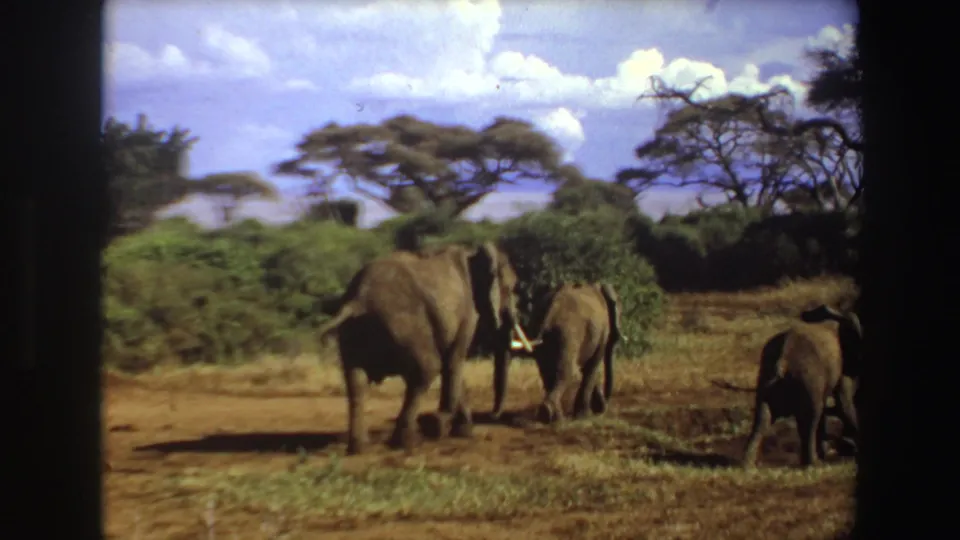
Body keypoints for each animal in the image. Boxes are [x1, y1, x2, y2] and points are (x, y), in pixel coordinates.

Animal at [316, 242, 534, 455]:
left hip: (354, 334)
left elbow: (451, 366)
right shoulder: (467, 312)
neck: (472, 253)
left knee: (356, 382)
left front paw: (462, 431)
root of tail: (358, 300)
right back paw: (406, 443)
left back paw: (359, 448)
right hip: (404, 325)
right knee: (427, 370)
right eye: (511, 288)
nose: (493, 415)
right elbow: (453, 362)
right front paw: (441, 425)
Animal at [500, 281, 626, 424]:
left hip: (545, 333)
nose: (602, 408)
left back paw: (555, 417)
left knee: (547, 371)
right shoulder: (602, 330)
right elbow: (592, 366)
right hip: (568, 333)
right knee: (566, 371)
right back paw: (553, 416)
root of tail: (551, 309)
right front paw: (584, 416)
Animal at [711, 304, 862, 468]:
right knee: (811, 418)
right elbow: (843, 402)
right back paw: (814, 464)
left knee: (763, 417)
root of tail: (783, 359)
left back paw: (747, 466)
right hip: (807, 377)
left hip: (767, 377)